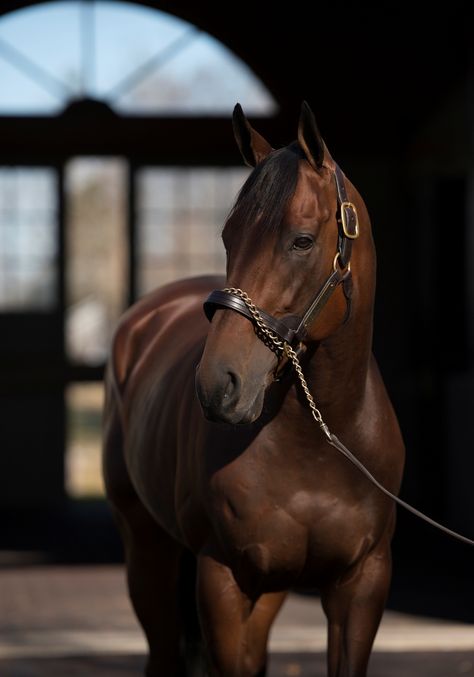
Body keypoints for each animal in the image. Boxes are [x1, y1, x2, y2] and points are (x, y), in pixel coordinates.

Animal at [103, 101, 404, 676]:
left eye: (302, 240)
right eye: (228, 236)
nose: (218, 385)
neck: (320, 446)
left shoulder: (360, 585)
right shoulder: (221, 579)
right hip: (145, 548)